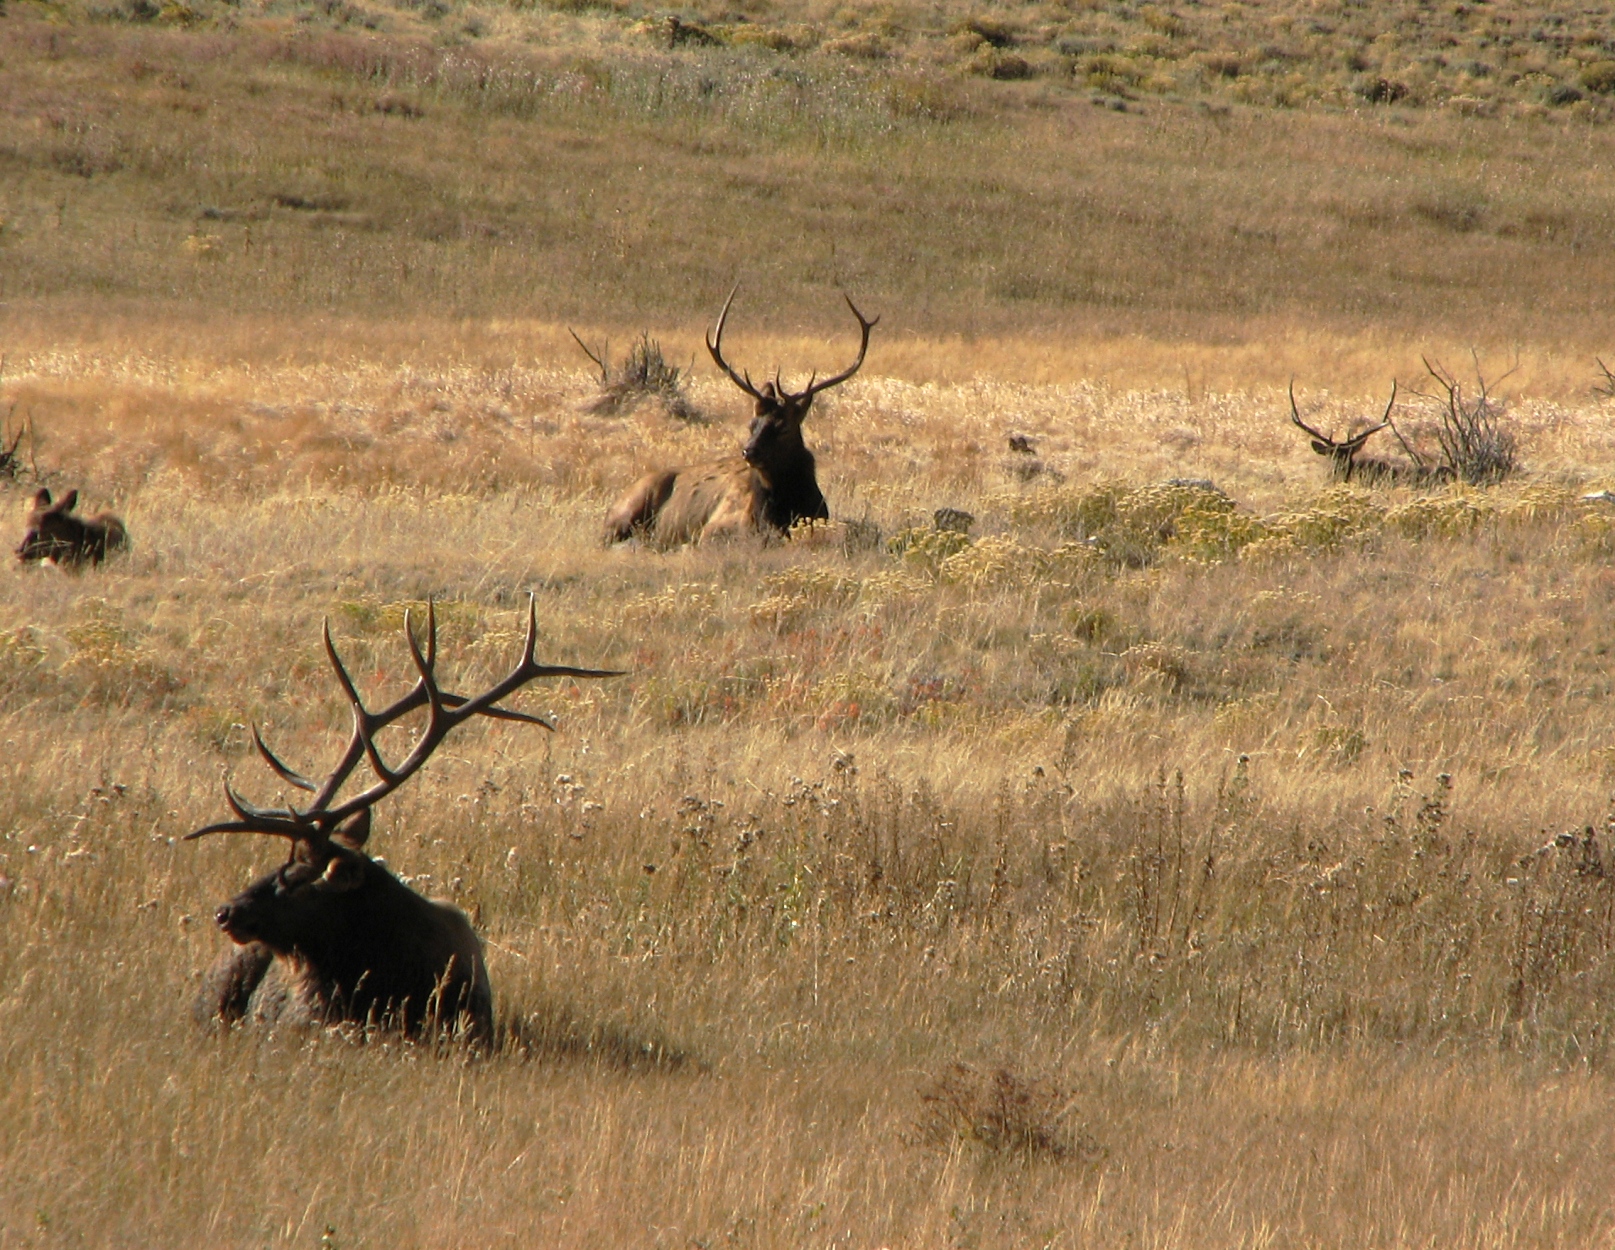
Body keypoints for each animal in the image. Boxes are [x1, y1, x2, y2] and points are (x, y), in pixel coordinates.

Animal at [604, 290, 878, 552]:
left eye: (784, 427)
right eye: (752, 424)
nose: (749, 451)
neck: (783, 509)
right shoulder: (713, 527)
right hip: (626, 510)